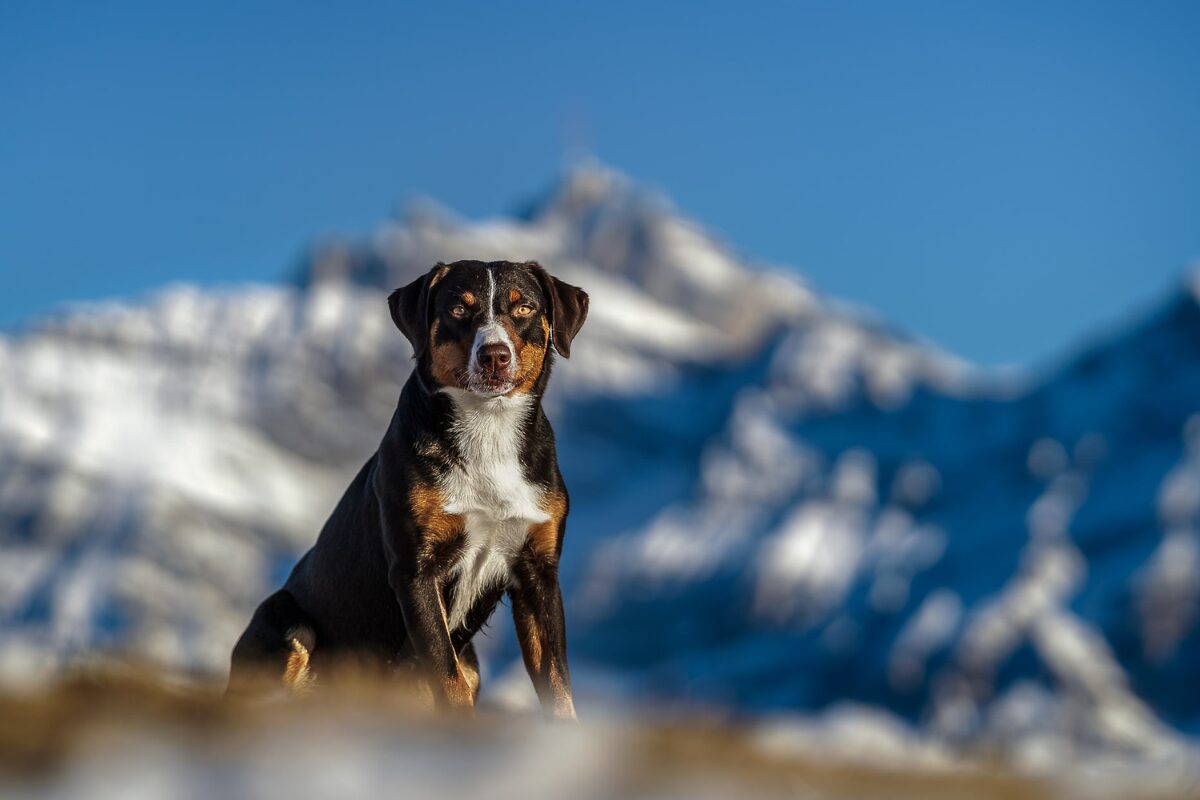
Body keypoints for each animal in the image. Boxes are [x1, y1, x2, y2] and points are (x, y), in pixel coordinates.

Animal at [228, 261, 585, 719]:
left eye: (523, 308)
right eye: (458, 308)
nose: (494, 355)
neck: (488, 431)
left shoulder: (538, 573)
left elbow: (558, 689)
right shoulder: (416, 569)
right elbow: (448, 680)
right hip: (288, 624)